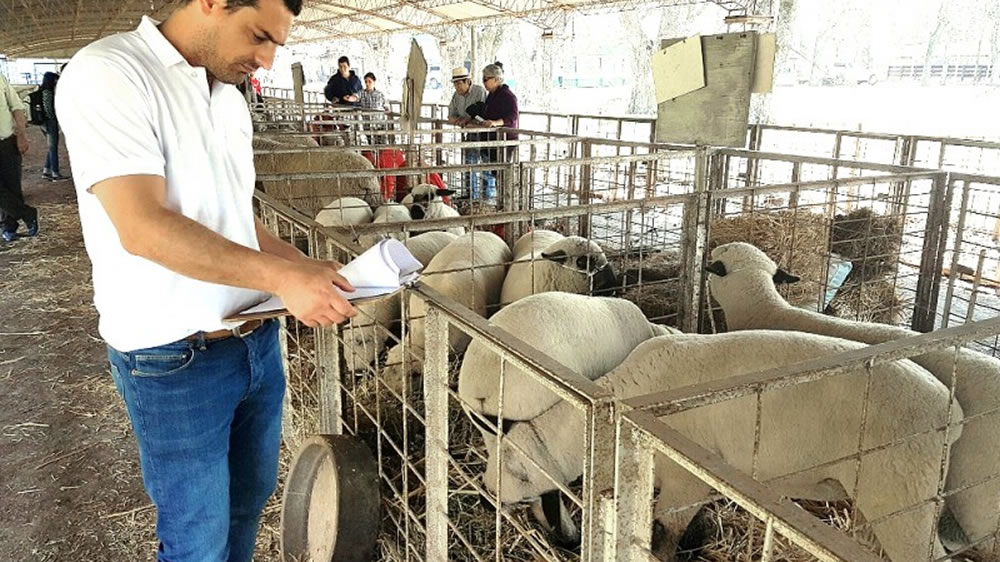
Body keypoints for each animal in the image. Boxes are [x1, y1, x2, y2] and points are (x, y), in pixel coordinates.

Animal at [488, 328, 964, 560]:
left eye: (509, 473)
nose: (488, 493)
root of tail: (953, 413)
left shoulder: (686, 481)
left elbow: (664, 533)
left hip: (904, 490)